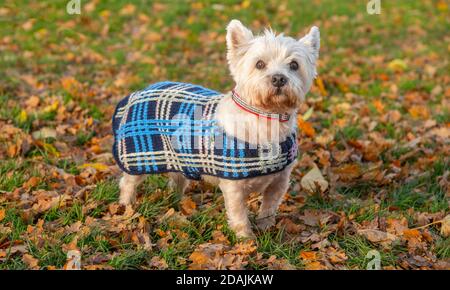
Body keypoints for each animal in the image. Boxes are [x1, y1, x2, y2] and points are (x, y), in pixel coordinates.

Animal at [112, 20, 318, 238]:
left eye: (294, 65)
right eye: (259, 64)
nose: (279, 79)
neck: (267, 117)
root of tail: (138, 92)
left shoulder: (279, 181)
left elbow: (269, 207)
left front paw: (266, 228)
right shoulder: (233, 187)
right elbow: (239, 214)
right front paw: (246, 239)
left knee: (177, 179)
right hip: (136, 159)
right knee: (128, 183)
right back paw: (126, 206)